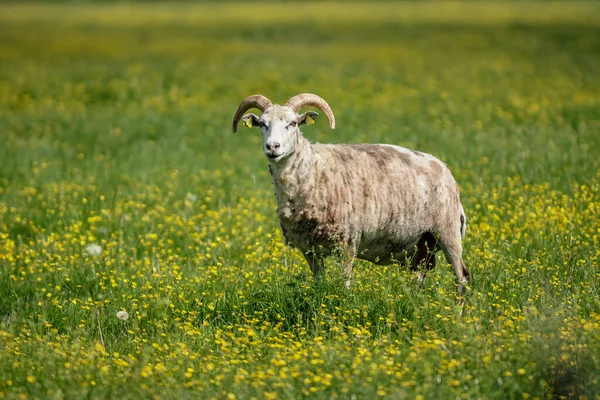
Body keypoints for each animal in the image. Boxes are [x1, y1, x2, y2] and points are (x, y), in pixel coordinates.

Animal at [232, 94, 472, 294]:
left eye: (292, 124)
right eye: (262, 124)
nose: (273, 147)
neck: (313, 170)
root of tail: (444, 168)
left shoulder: (347, 242)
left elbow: (343, 284)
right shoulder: (309, 249)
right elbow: (319, 282)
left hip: (448, 232)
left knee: (462, 277)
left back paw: (458, 315)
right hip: (421, 246)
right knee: (420, 277)